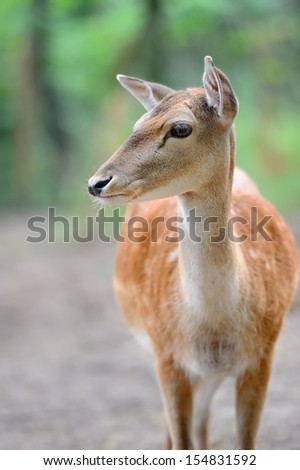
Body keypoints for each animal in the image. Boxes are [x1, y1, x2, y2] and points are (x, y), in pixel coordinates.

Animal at [86, 55, 298, 448]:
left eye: (180, 128)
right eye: (137, 123)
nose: (96, 183)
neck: (213, 327)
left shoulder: (262, 355)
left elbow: (244, 442)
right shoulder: (166, 354)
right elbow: (179, 440)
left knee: (203, 419)